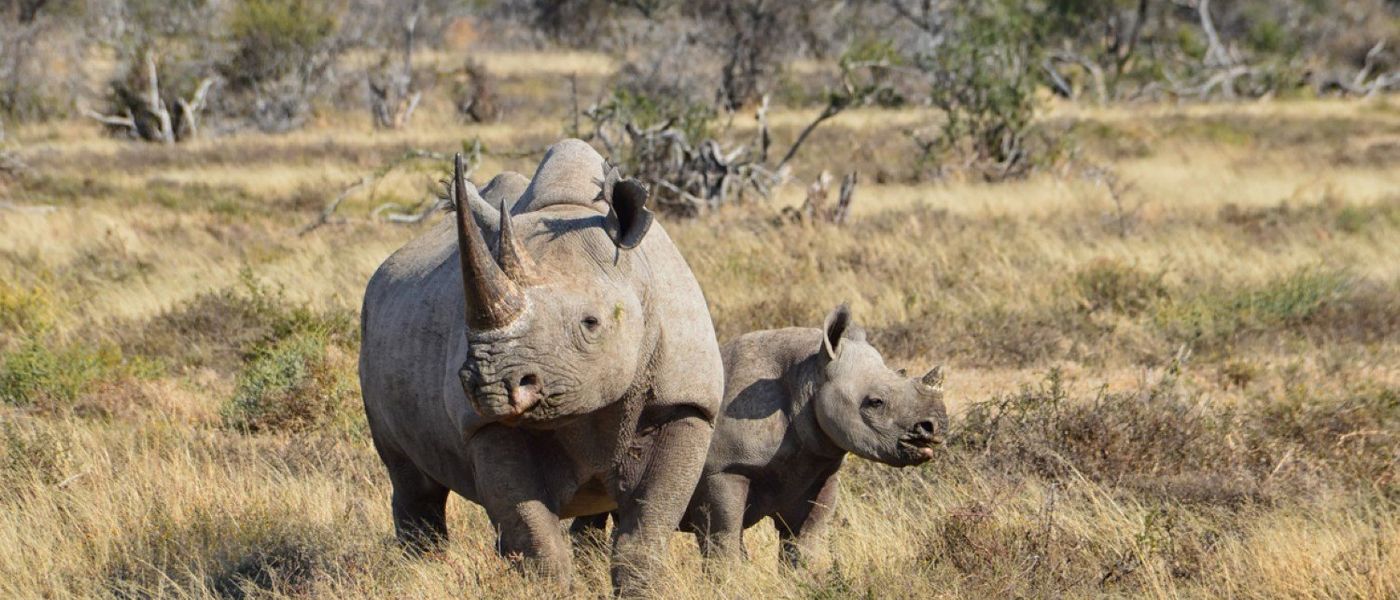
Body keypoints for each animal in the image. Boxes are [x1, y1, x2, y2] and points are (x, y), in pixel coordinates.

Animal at [359, 140, 724, 594]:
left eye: (591, 323)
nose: (490, 385)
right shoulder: (484, 425)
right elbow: (537, 541)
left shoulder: (685, 403)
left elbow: (645, 534)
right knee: (412, 481)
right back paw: (419, 572)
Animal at [571, 304, 948, 565]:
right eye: (875, 402)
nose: (934, 428)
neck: (809, 375)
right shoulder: (724, 469)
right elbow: (724, 540)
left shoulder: (819, 467)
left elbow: (806, 544)